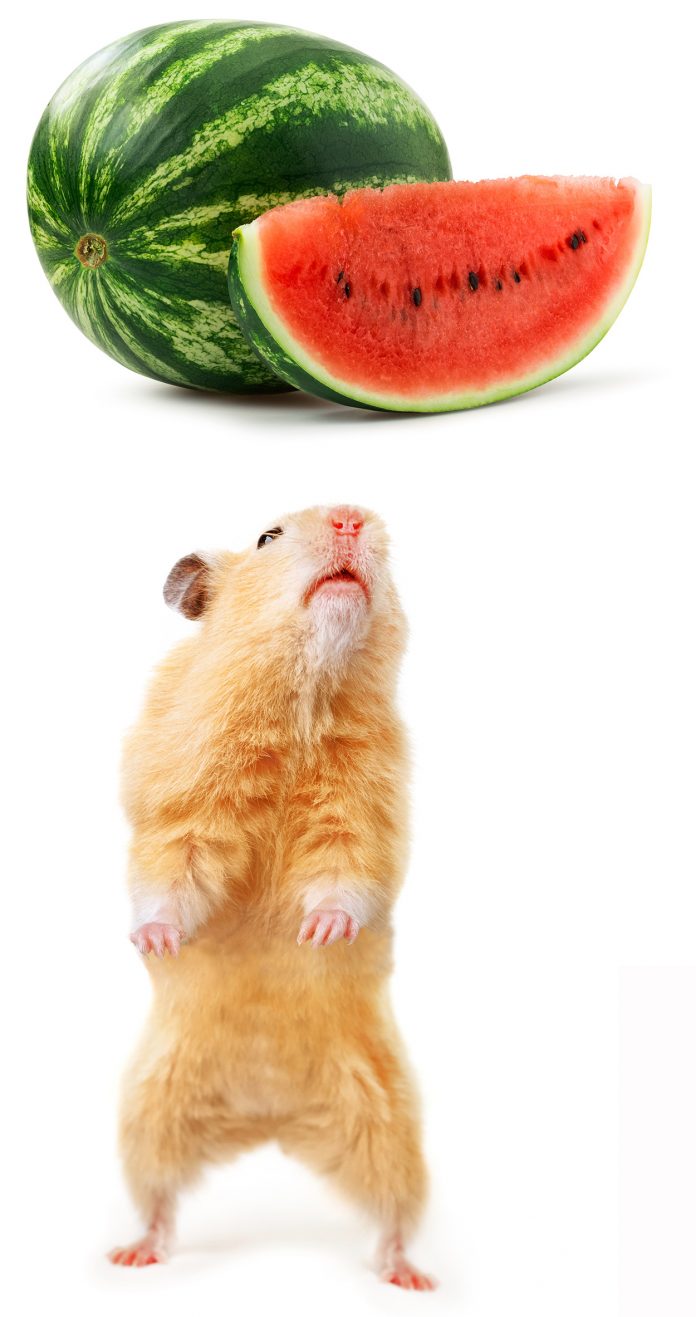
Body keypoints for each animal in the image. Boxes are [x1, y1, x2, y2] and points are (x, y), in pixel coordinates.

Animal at [108, 504, 435, 1291]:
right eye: (268, 537)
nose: (352, 515)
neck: (303, 703)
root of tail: (269, 1119)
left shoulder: (361, 819)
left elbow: (345, 878)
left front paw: (318, 934)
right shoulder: (182, 809)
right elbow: (168, 876)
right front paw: (156, 941)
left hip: (390, 1122)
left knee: (394, 1213)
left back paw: (409, 1275)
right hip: (149, 1111)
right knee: (159, 1197)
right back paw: (133, 1254)